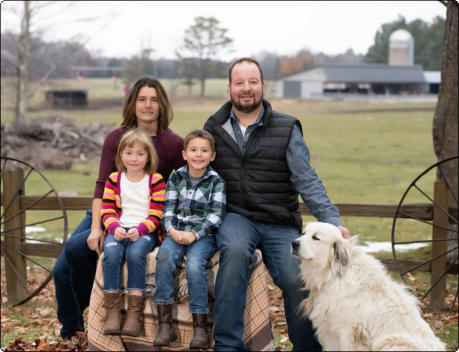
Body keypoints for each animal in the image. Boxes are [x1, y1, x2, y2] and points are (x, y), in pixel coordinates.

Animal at [292, 223, 446, 352]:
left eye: (315, 237)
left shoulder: (349, 331)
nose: (294, 243)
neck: (334, 273)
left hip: (390, 342)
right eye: (303, 233)